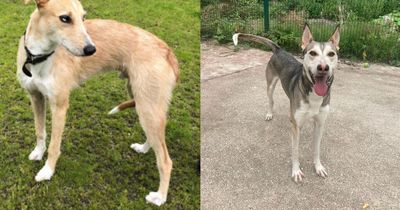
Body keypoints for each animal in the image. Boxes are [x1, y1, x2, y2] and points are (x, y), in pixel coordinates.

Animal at [16, 0, 177, 206]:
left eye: (84, 17)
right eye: (65, 18)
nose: (91, 50)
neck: (40, 56)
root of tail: (167, 50)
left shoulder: (59, 106)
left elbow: (54, 146)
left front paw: (47, 171)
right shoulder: (35, 97)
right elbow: (40, 132)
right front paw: (38, 152)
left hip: (148, 107)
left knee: (165, 161)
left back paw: (160, 197)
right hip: (143, 103)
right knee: (156, 139)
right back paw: (143, 148)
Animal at [233, 23, 340, 182]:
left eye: (331, 54)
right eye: (313, 53)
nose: (323, 68)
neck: (314, 95)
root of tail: (279, 49)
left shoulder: (320, 124)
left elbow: (317, 149)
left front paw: (318, 167)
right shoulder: (296, 127)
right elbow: (295, 151)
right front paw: (296, 171)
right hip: (270, 86)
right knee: (271, 101)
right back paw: (269, 114)